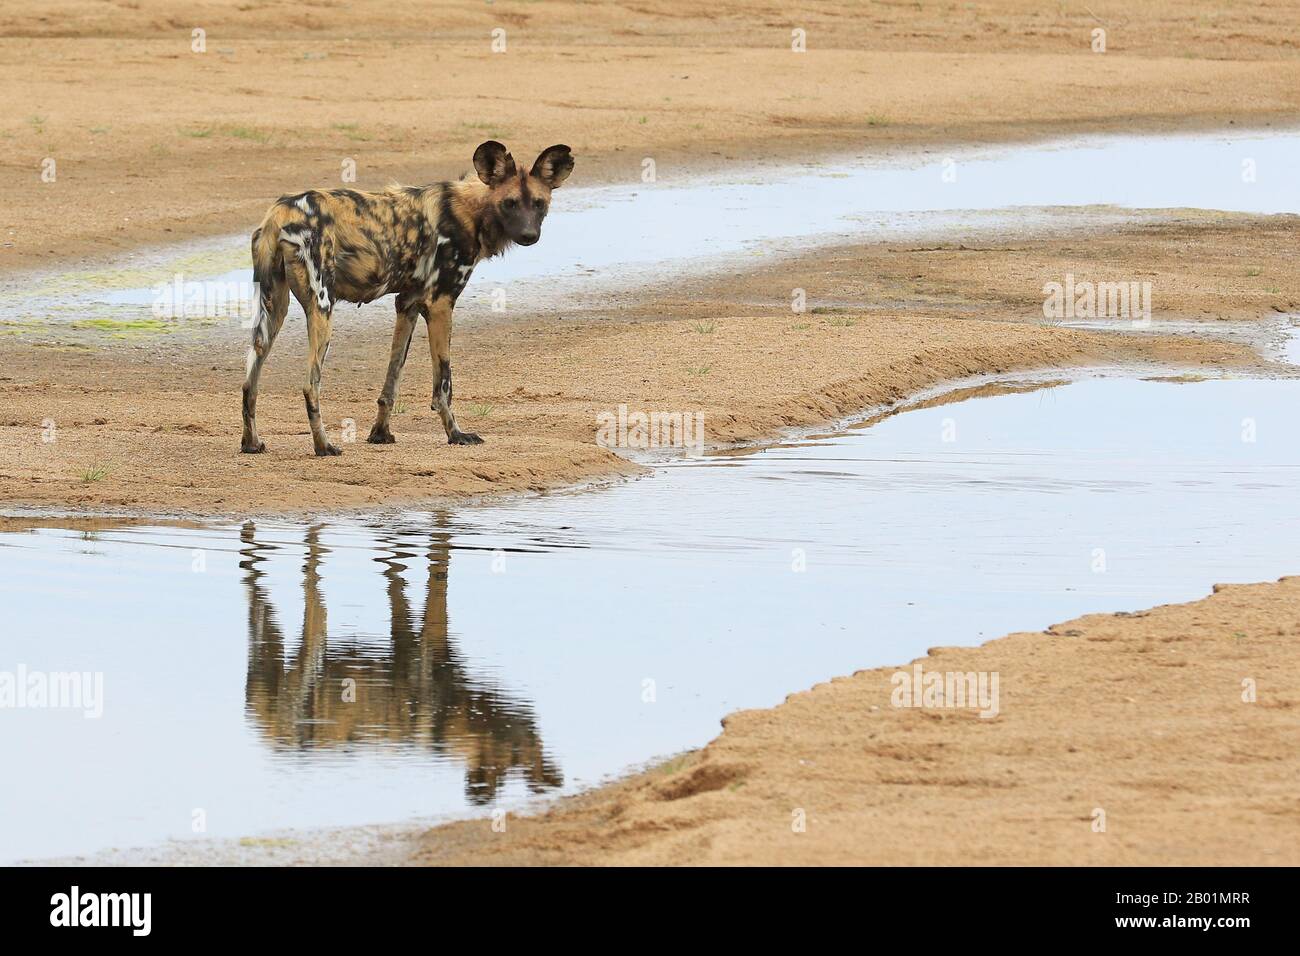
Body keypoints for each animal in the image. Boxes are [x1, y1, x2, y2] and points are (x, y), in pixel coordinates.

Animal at [240, 141, 574, 455]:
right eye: (509, 203)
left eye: (539, 204)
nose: (529, 235)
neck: (469, 211)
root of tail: (279, 212)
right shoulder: (440, 305)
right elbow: (444, 384)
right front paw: (456, 434)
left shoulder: (407, 305)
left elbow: (392, 381)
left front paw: (380, 434)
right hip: (322, 307)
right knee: (311, 385)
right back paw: (324, 446)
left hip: (273, 311)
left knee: (249, 382)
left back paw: (251, 443)